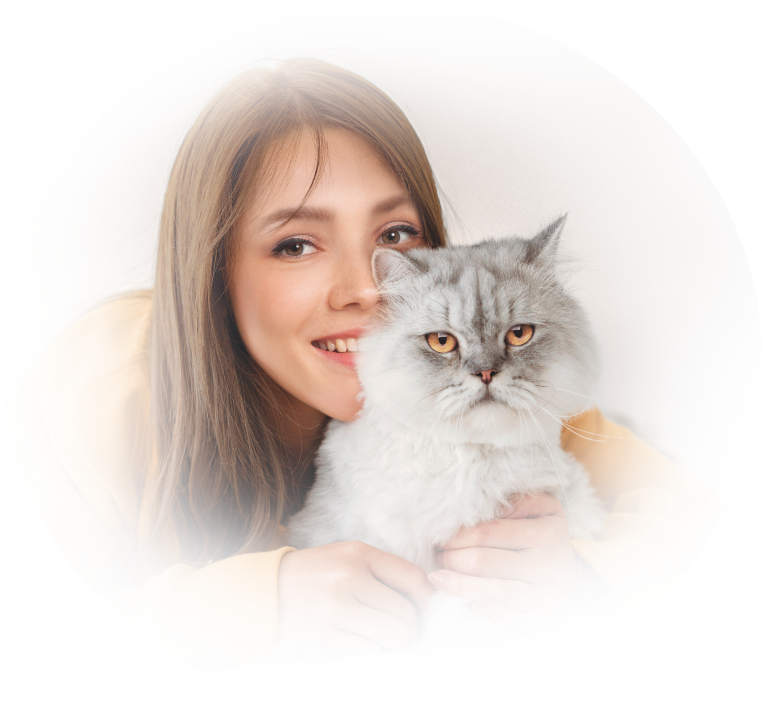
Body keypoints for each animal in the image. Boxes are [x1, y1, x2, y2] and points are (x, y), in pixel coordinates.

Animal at [278, 214, 607, 656]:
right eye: (441, 342)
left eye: (519, 334)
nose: (485, 373)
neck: (461, 459)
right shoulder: (342, 539)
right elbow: (329, 637)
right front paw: (297, 655)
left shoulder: (482, 560)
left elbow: (461, 615)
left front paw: (451, 646)